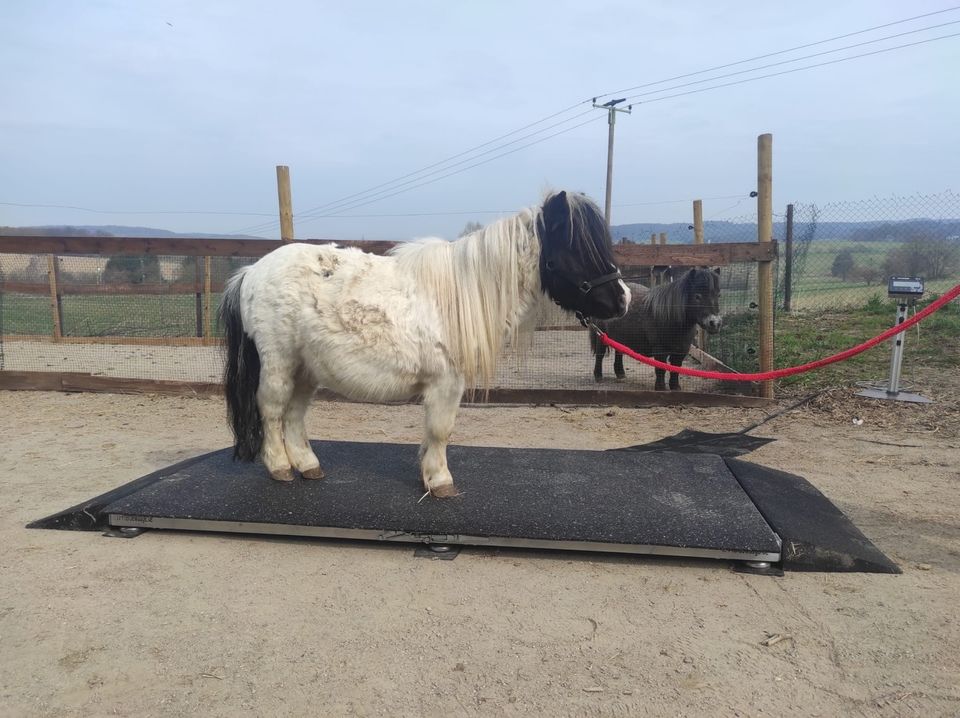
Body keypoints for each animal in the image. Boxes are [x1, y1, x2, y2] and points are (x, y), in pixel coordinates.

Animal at [221, 188, 632, 498]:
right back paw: (279, 467)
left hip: (306, 367)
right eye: (577, 248)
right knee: (272, 410)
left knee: (294, 414)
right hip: (279, 362)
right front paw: (439, 481)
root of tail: (251, 272)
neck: (461, 294)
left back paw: (307, 465)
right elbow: (440, 430)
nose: (623, 299)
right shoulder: (445, 383)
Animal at [592, 268, 720, 390]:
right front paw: (660, 387)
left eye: (718, 295)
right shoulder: (660, 349)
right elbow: (661, 368)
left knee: (619, 353)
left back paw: (620, 374)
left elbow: (676, 368)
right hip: (601, 336)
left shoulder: (681, 350)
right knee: (600, 354)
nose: (715, 323)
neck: (670, 317)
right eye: (697, 296)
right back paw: (598, 376)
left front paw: (675, 387)